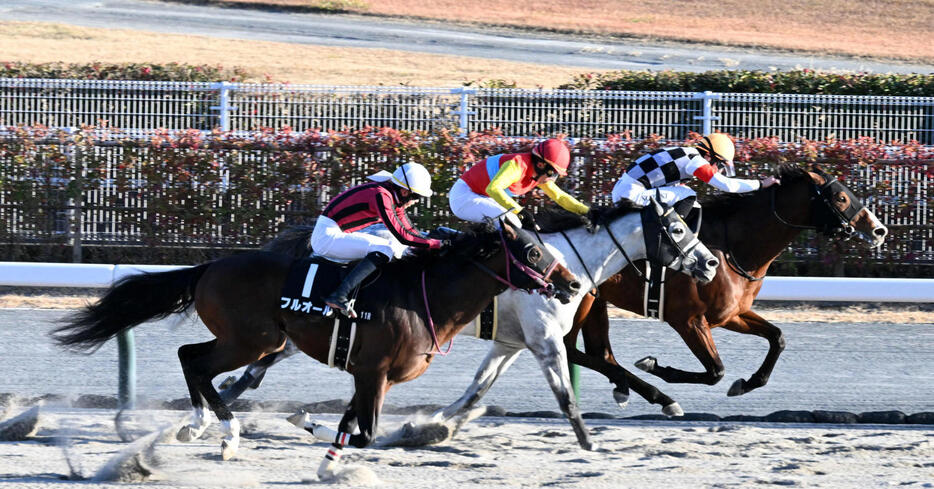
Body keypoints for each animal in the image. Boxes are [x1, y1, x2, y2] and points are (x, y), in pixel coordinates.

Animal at [51, 221, 580, 476]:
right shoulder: (373, 372)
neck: (424, 296)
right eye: (533, 252)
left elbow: (353, 426)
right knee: (194, 360)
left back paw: (197, 425)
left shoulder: (371, 375)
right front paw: (306, 423)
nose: (573, 284)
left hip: (250, 339)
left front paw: (324, 451)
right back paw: (224, 433)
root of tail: (209, 267)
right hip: (254, 339)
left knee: (191, 356)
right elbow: (364, 433)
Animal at [568, 164, 888, 412]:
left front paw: (747, 383)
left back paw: (629, 389)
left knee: (598, 353)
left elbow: (778, 338)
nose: (879, 230)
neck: (730, 247)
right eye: (842, 197)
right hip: (580, 301)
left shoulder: (730, 314)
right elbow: (715, 372)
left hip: (594, 301)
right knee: (575, 351)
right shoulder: (687, 320)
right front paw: (653, 365)